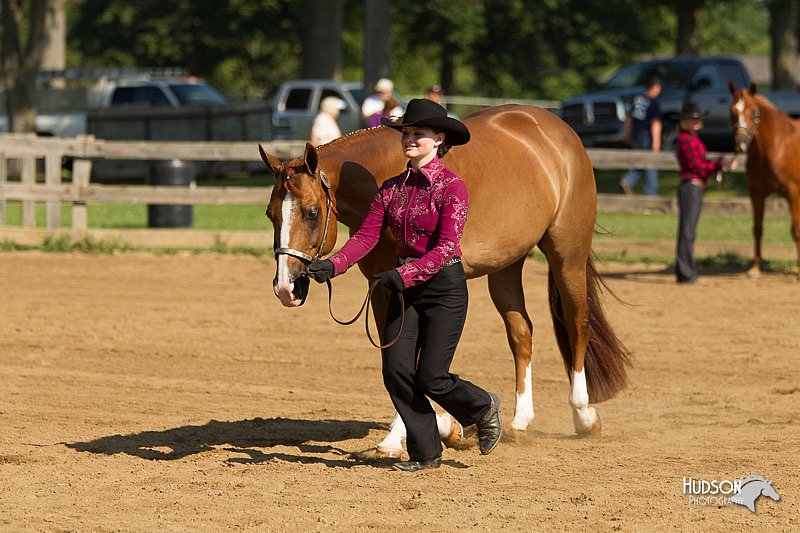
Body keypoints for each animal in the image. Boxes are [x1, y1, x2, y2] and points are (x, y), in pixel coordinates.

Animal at [260, 105, 632, 458]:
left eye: (311, 212)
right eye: (270, 214)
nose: (285, 287)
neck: (385, 174)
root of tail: (558, 131)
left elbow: (413, 362)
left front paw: (402, 436)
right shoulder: (383, 290)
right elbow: (396, 358)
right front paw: (448, 427)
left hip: (567, 254)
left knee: (577, 321)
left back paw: (584, 415)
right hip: (506, 266)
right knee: (521, 332)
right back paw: (518, 422)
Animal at [732, 82, 800, 278]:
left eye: (754, 111)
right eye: (732, 111)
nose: (740, 143)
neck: (776, 146)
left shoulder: (793, 193)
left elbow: (796, 230)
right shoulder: (756, 194)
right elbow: (757, 229)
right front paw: (755, 268)